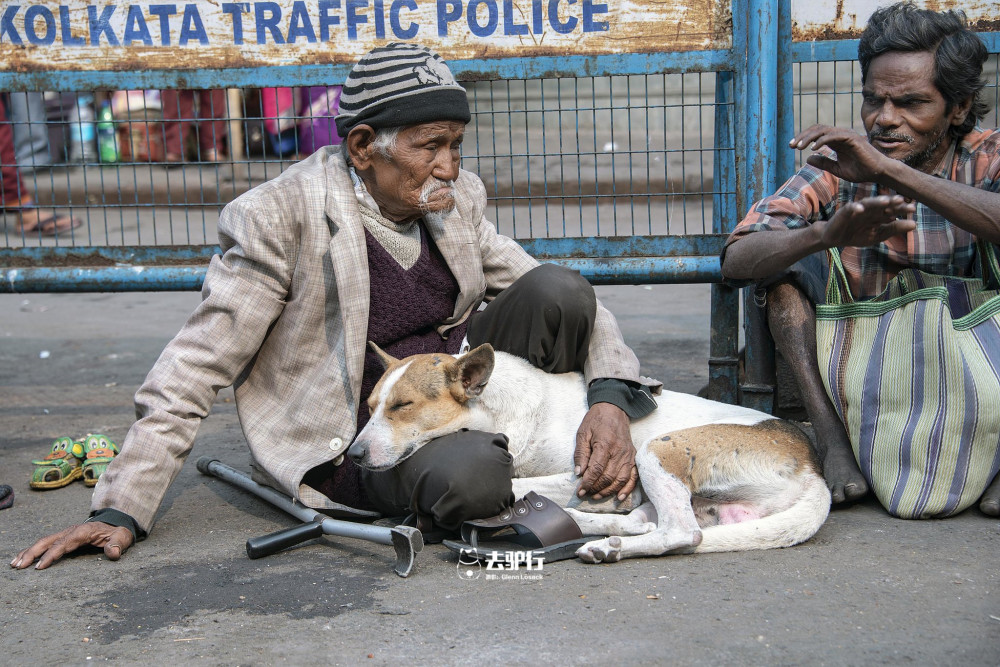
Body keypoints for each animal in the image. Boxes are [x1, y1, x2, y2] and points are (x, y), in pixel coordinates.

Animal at [348, 344, 832, 564]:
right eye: (370, 406)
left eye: (402, 406)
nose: (352, 456)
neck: (500, 410)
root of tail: (814, 467)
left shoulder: (577, 474)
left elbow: (520, 481)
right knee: (647, 522)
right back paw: (597, 531)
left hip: (658, 450)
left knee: (682, 533)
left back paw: (602, 541)